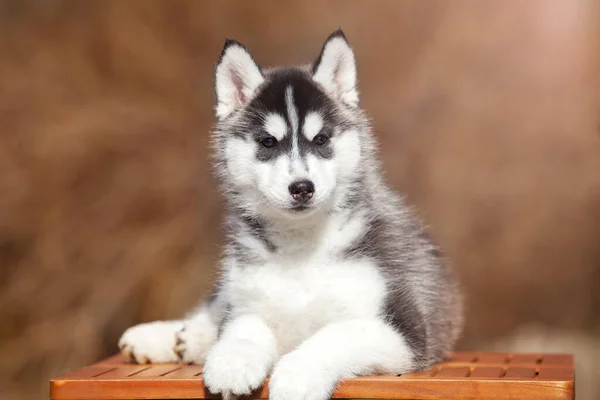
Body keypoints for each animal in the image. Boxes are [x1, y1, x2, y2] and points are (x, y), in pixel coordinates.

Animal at [118, 30, 464, 400]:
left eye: (322, 139)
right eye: (268, 142)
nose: (302, 187)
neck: (301, 246)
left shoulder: (404, 331)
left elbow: (335, 335)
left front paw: (297, 376)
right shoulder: (251, 301)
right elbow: (243, 327)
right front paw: (232, 363)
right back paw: (167, 337)